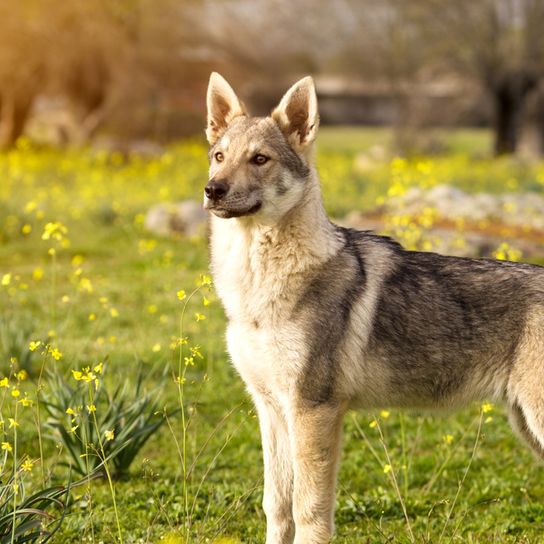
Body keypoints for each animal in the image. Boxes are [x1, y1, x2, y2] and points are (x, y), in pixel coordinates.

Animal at [203, 73, 544, 544]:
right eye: (219, 157)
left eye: (259, 159)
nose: (212, 189)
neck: (256, 287)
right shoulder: (270, 408)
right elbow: (277, 507)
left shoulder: (313, 410)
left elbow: (309, 512)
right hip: (526, 426)